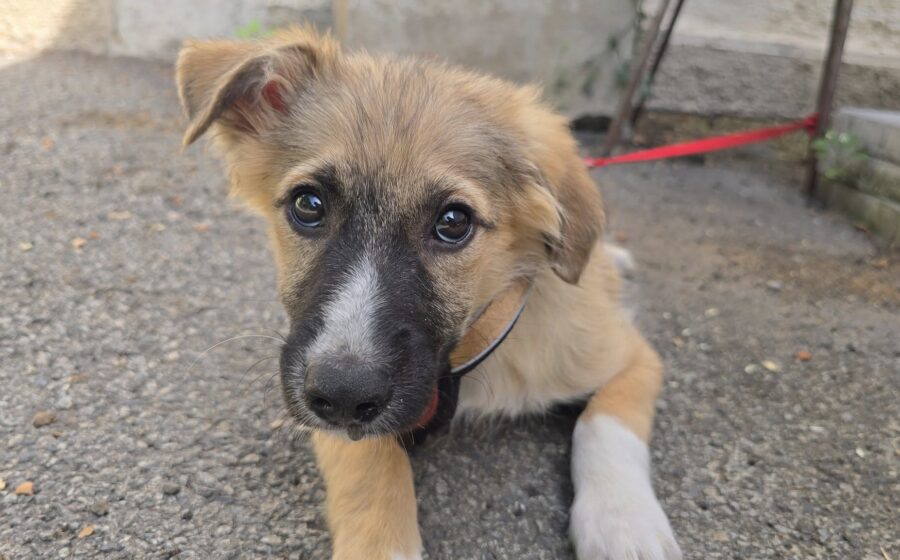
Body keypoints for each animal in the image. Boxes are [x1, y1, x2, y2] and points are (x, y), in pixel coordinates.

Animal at [176, 26, 681, 560]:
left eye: (453, 222)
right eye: (308, 205)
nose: (342, 393)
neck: (463, 354)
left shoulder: (630, 357)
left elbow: (604, 423)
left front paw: (623, 521)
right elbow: (371, 468)